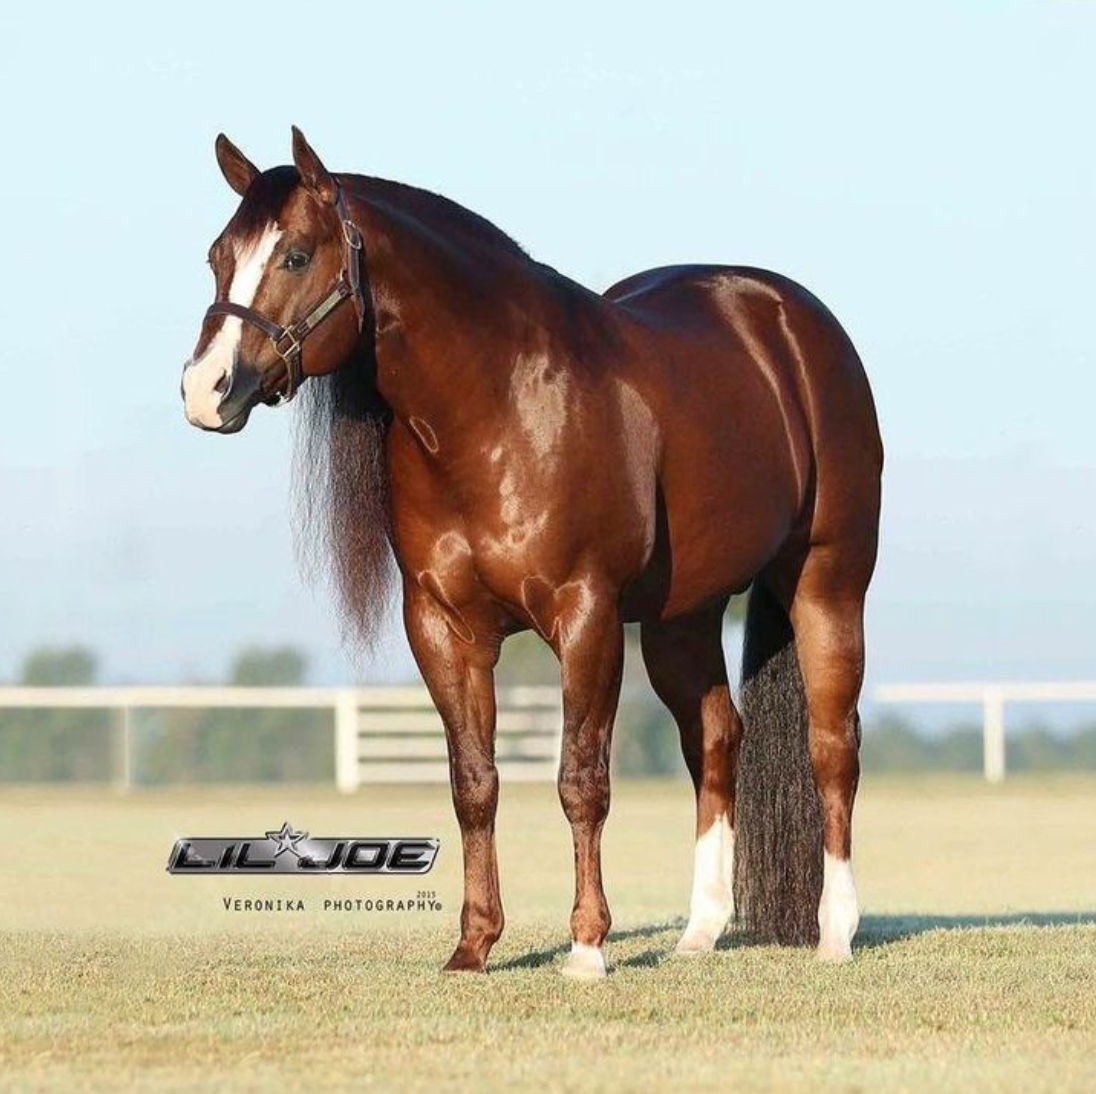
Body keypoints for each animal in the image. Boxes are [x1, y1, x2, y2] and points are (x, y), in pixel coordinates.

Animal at [181, 128, 883, 978]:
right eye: (219, 256)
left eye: (295, 255)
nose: (205, 389)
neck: (497, 405)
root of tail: (792, 320)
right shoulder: (442, 626)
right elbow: (473, 782)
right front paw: (474, 945)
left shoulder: (585, 616)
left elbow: (581, 781)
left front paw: (586, 948)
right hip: (682, 618)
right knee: (716, 740)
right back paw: (699, 931)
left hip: (828, 585)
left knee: (832, 747)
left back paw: (836, 932)